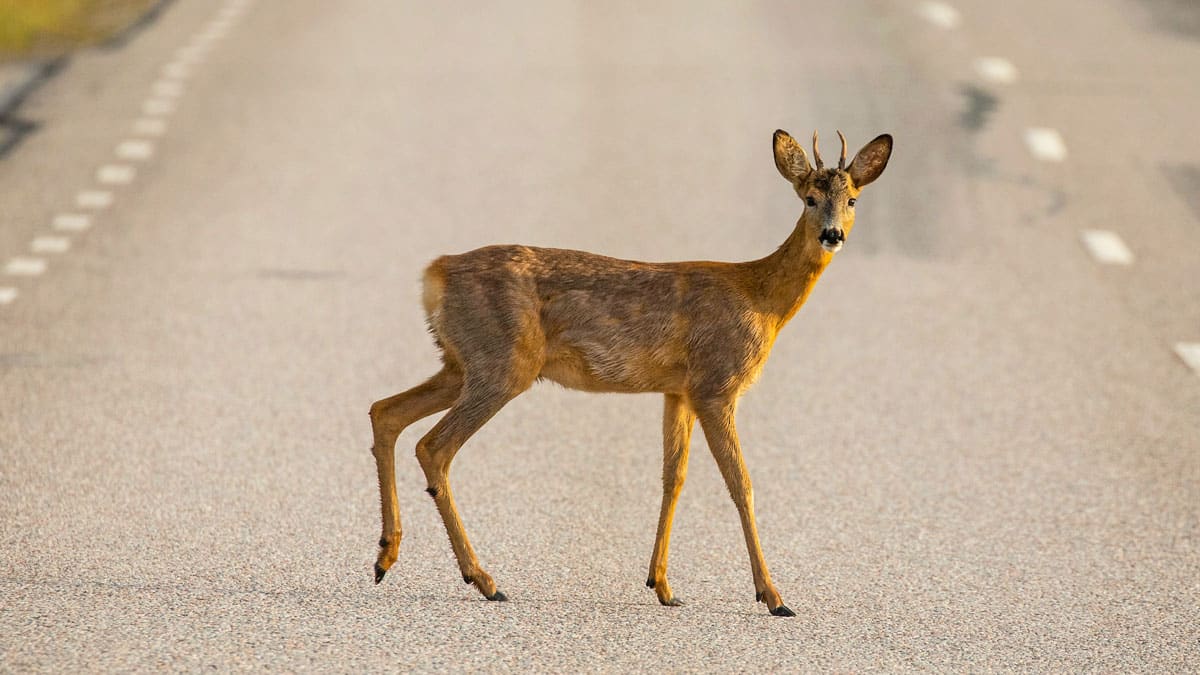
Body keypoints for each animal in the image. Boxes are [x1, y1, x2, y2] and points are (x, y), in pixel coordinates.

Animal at [369, 127, 897, 614]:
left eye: (852, 199)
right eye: (810, 198)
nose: (833, 234)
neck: (761, 299)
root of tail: (435, 273)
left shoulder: (677, 390)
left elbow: (673, 476)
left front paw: (662, 585)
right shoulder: (716, 384)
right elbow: (741, 483)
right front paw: (773, 596)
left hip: (460, 363)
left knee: (385, 411)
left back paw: (385, 556)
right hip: (501, 364)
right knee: (433, 445)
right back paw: (483, 579)